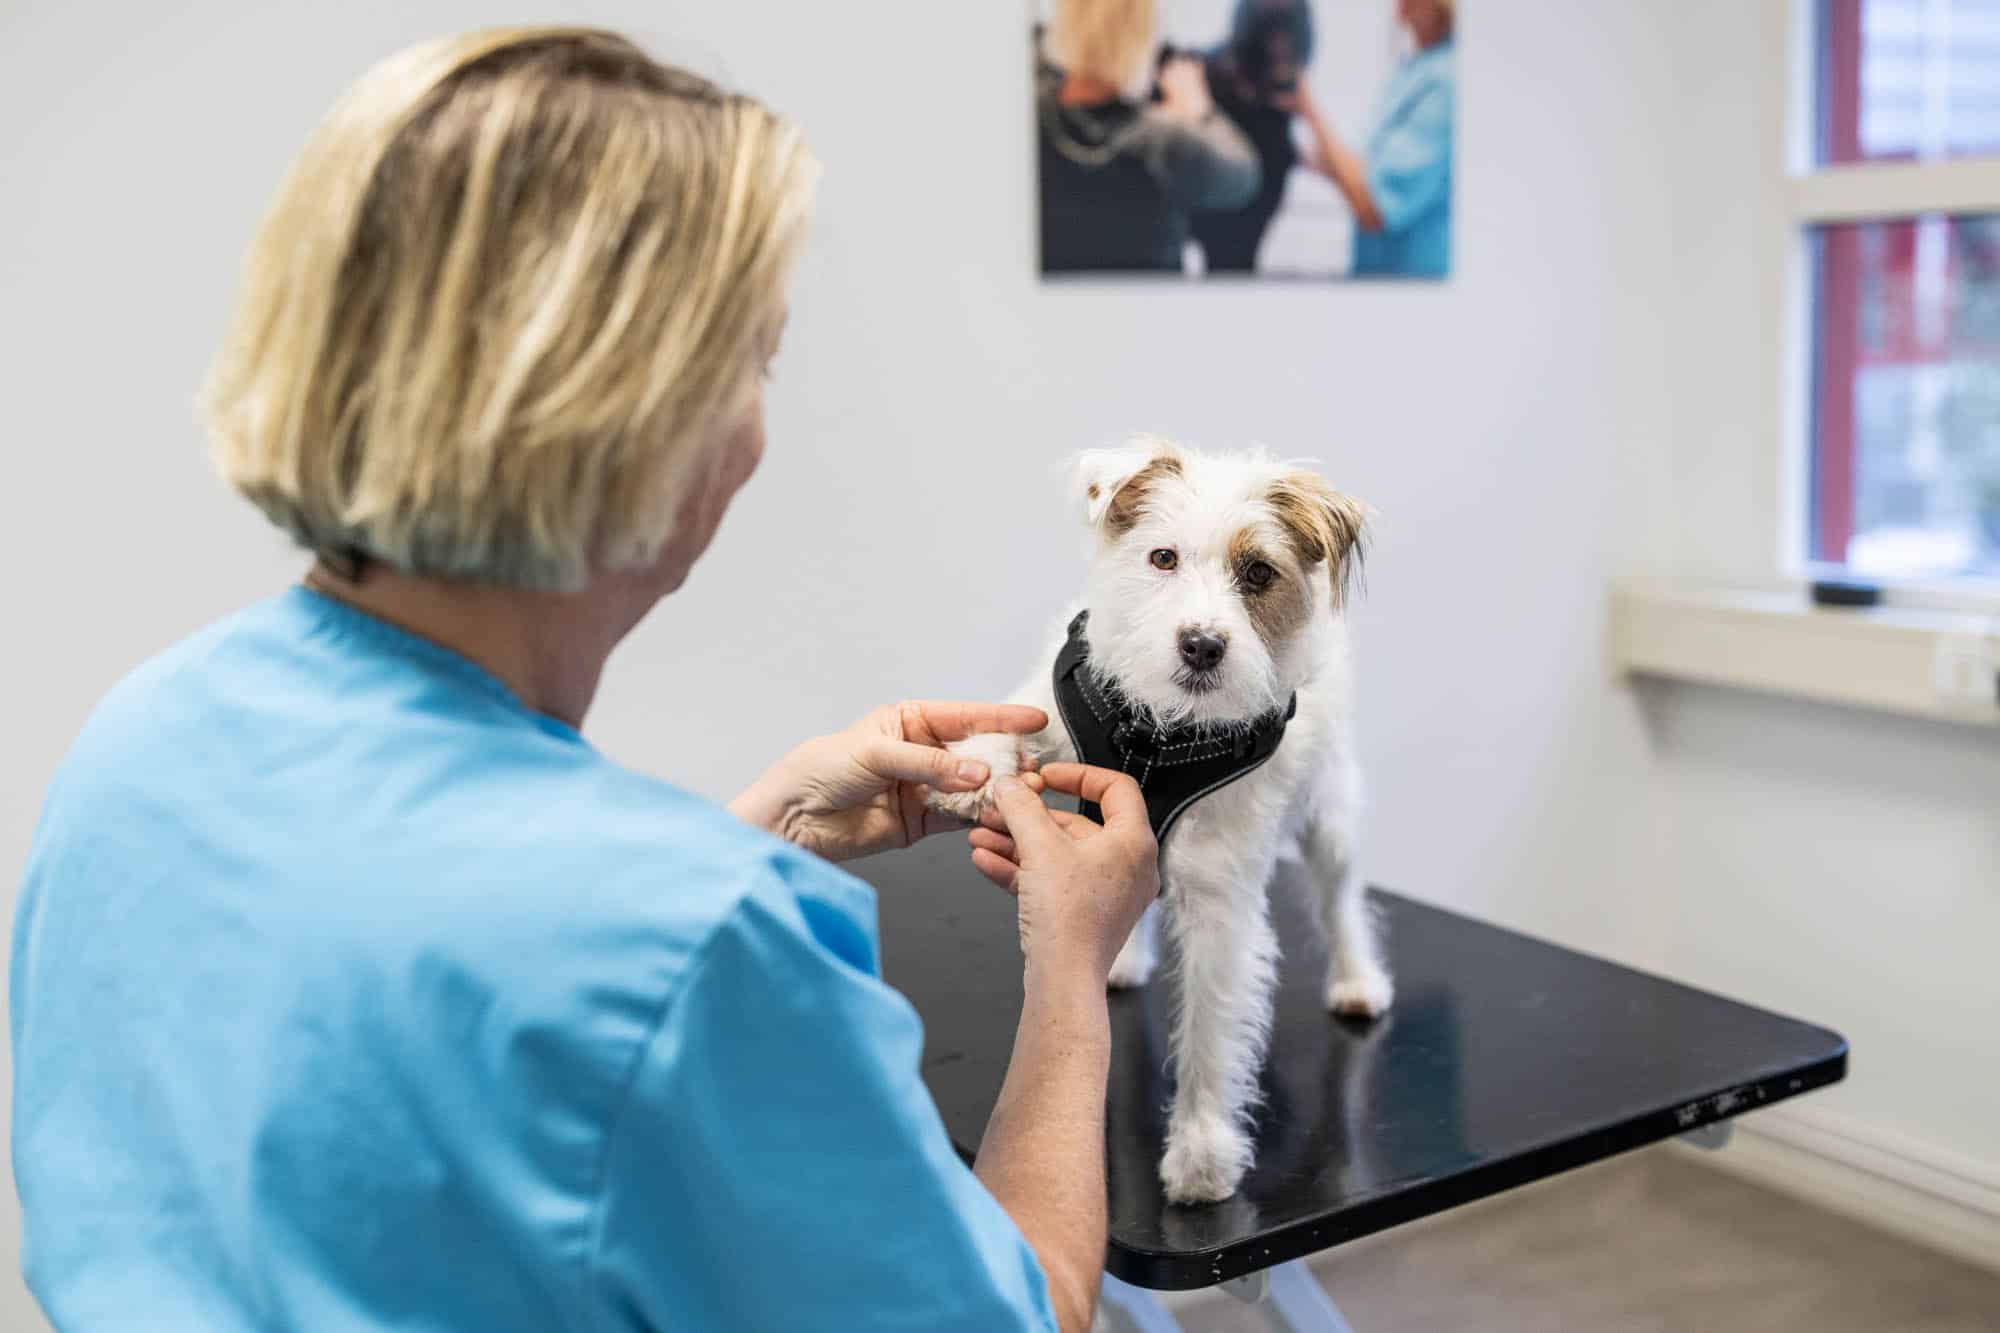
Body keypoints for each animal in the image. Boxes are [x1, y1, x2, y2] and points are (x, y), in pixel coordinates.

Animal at [924, 436, 1384, 1200]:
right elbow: (1016, 718)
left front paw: (1202, 1153)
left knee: (1340, 896)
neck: (1158, 734)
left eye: (1258, 572)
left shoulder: (1222, 902)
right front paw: (981, 768)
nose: (1201, 644)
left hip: (1333, 808)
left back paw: (1358, 981)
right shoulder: (1057, 704)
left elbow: (1209, 1032)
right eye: (1162, 557)